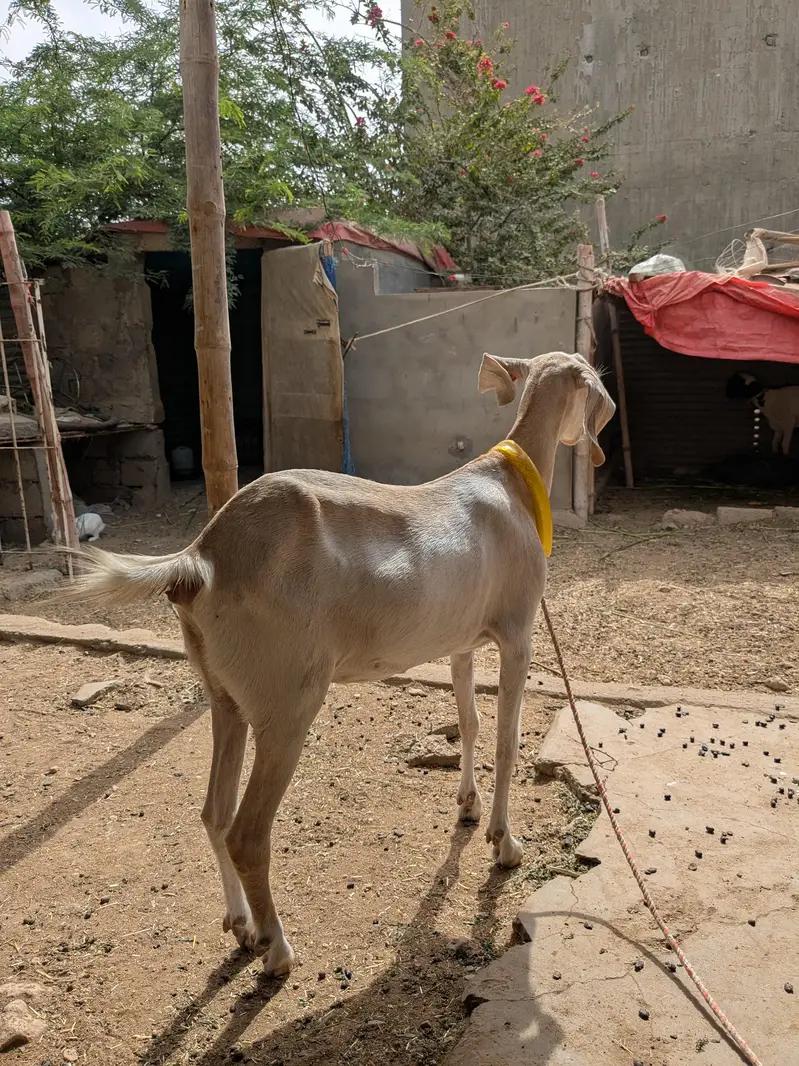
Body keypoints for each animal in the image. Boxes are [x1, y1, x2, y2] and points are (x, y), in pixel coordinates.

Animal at [61, 351, 615, 976]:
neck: (513, 483)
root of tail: (201, 558)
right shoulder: (518, 634)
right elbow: (506, 740)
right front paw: (505, 843)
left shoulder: (462, 640)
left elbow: (471, 722)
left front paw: (468, 808)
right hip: (287, 701)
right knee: (247, 831)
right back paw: (277, 949)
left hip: (225, 696)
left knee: (213, 813)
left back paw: (242, 927)